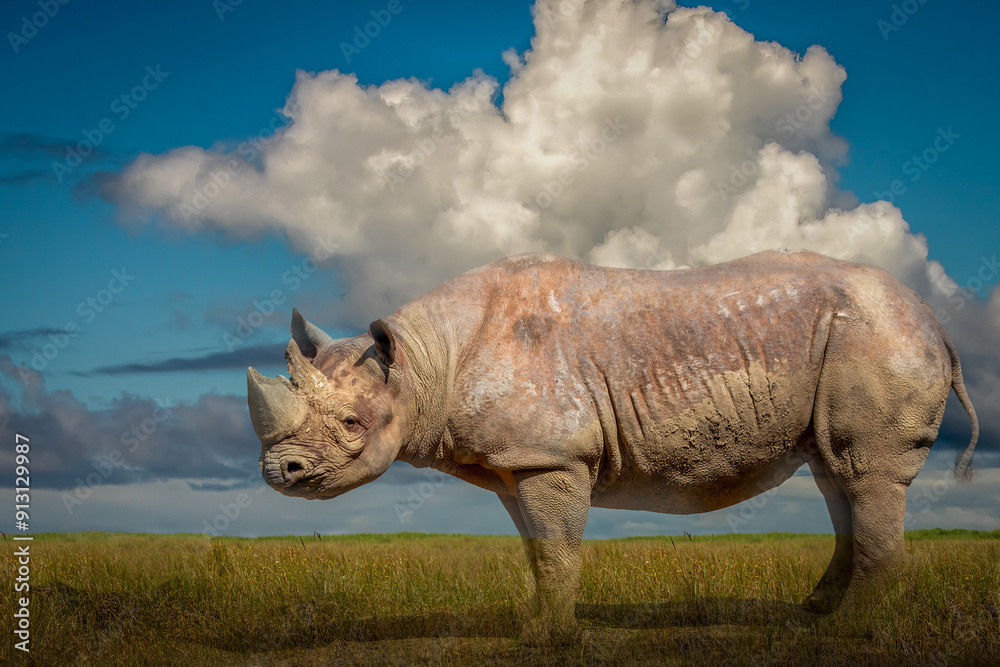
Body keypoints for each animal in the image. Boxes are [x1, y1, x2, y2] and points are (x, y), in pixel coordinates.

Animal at [248, 249, 978, 642]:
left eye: (352, 424)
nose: (279, 471)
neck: (428, 361)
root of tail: (936, 322)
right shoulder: (518, 461)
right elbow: (540, 551)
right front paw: (535, 625)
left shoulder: (552, 455)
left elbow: (558, 549)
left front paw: (552, 639)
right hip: (857, 344)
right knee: (836, 475)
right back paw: (814, 614)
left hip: (878, 339)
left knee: (866, 472)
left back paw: (848, 630)